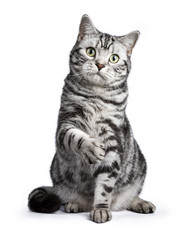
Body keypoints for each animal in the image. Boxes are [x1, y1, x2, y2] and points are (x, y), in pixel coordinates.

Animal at [28, 14, 156, 223]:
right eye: (90, 52)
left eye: (114, 58)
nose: (100, 64)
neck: (96, 96)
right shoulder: (66, 123)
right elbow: (75, 137)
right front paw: (91, 147)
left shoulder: (113, 139)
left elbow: (105, 184)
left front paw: (101, 208)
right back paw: (75, 204)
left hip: (139, 171)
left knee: (128, 198)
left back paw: (141, 203)